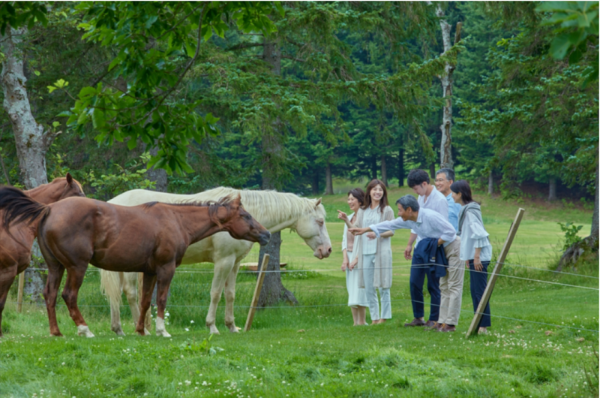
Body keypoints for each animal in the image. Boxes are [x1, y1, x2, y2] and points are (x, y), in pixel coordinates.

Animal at [100, 188, 330, 334]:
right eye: (320, 221)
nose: (327, 250)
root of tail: (112, 204)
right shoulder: (223, 262)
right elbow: (216, 293)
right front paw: (212, 326)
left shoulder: (234, 263)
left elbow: (230, 295)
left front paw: (232, 326)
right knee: (131, 293)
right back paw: (142, 330)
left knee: (118, 295)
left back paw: (118, 328)